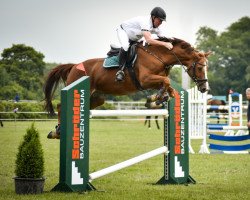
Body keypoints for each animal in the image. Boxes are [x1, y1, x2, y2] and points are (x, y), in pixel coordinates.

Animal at [44, 37, 210, 138]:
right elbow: (166, 80)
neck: (159, 57)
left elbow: (166, 84)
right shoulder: (145, 79)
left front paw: (160, 97)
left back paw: (56, 131)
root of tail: (73, 66)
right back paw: (58, 131)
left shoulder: (154, 80)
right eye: (200, 68)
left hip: (97, 97)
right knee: (60, 106)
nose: (205, 89)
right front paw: (157, 98)